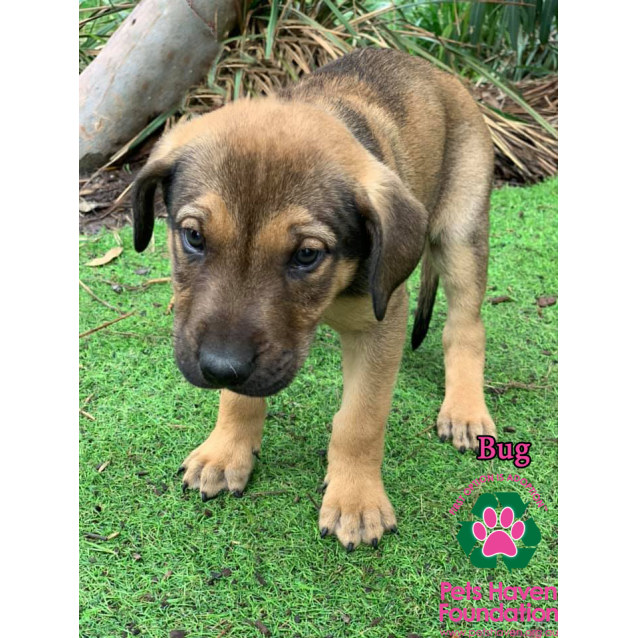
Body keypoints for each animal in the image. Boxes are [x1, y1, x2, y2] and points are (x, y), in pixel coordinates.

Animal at [132, 48, 498, 552]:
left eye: (307, 255)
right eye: (193, 237)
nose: (219, 368)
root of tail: (438, 71)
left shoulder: (382, 321)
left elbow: (361, 418)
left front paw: (356, 500)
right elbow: (241, 396)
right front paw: (226, 450)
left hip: (460, 232)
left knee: (465, 328)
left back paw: (464, 409)